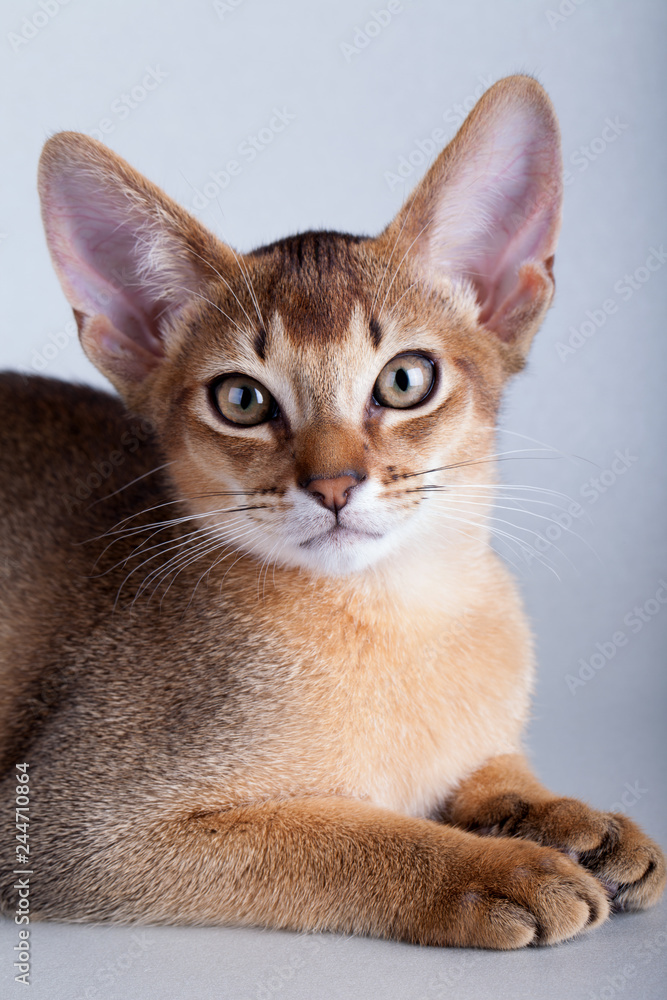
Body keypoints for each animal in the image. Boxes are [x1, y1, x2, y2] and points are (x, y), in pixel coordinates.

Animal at [0, 76, 664, 944]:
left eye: (405, 380)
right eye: (241, 400)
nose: (334, 485)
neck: (400, 615)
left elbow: (488, 766)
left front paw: (563, 816)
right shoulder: (72, 824)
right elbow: (339, 834)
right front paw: (496, 867)